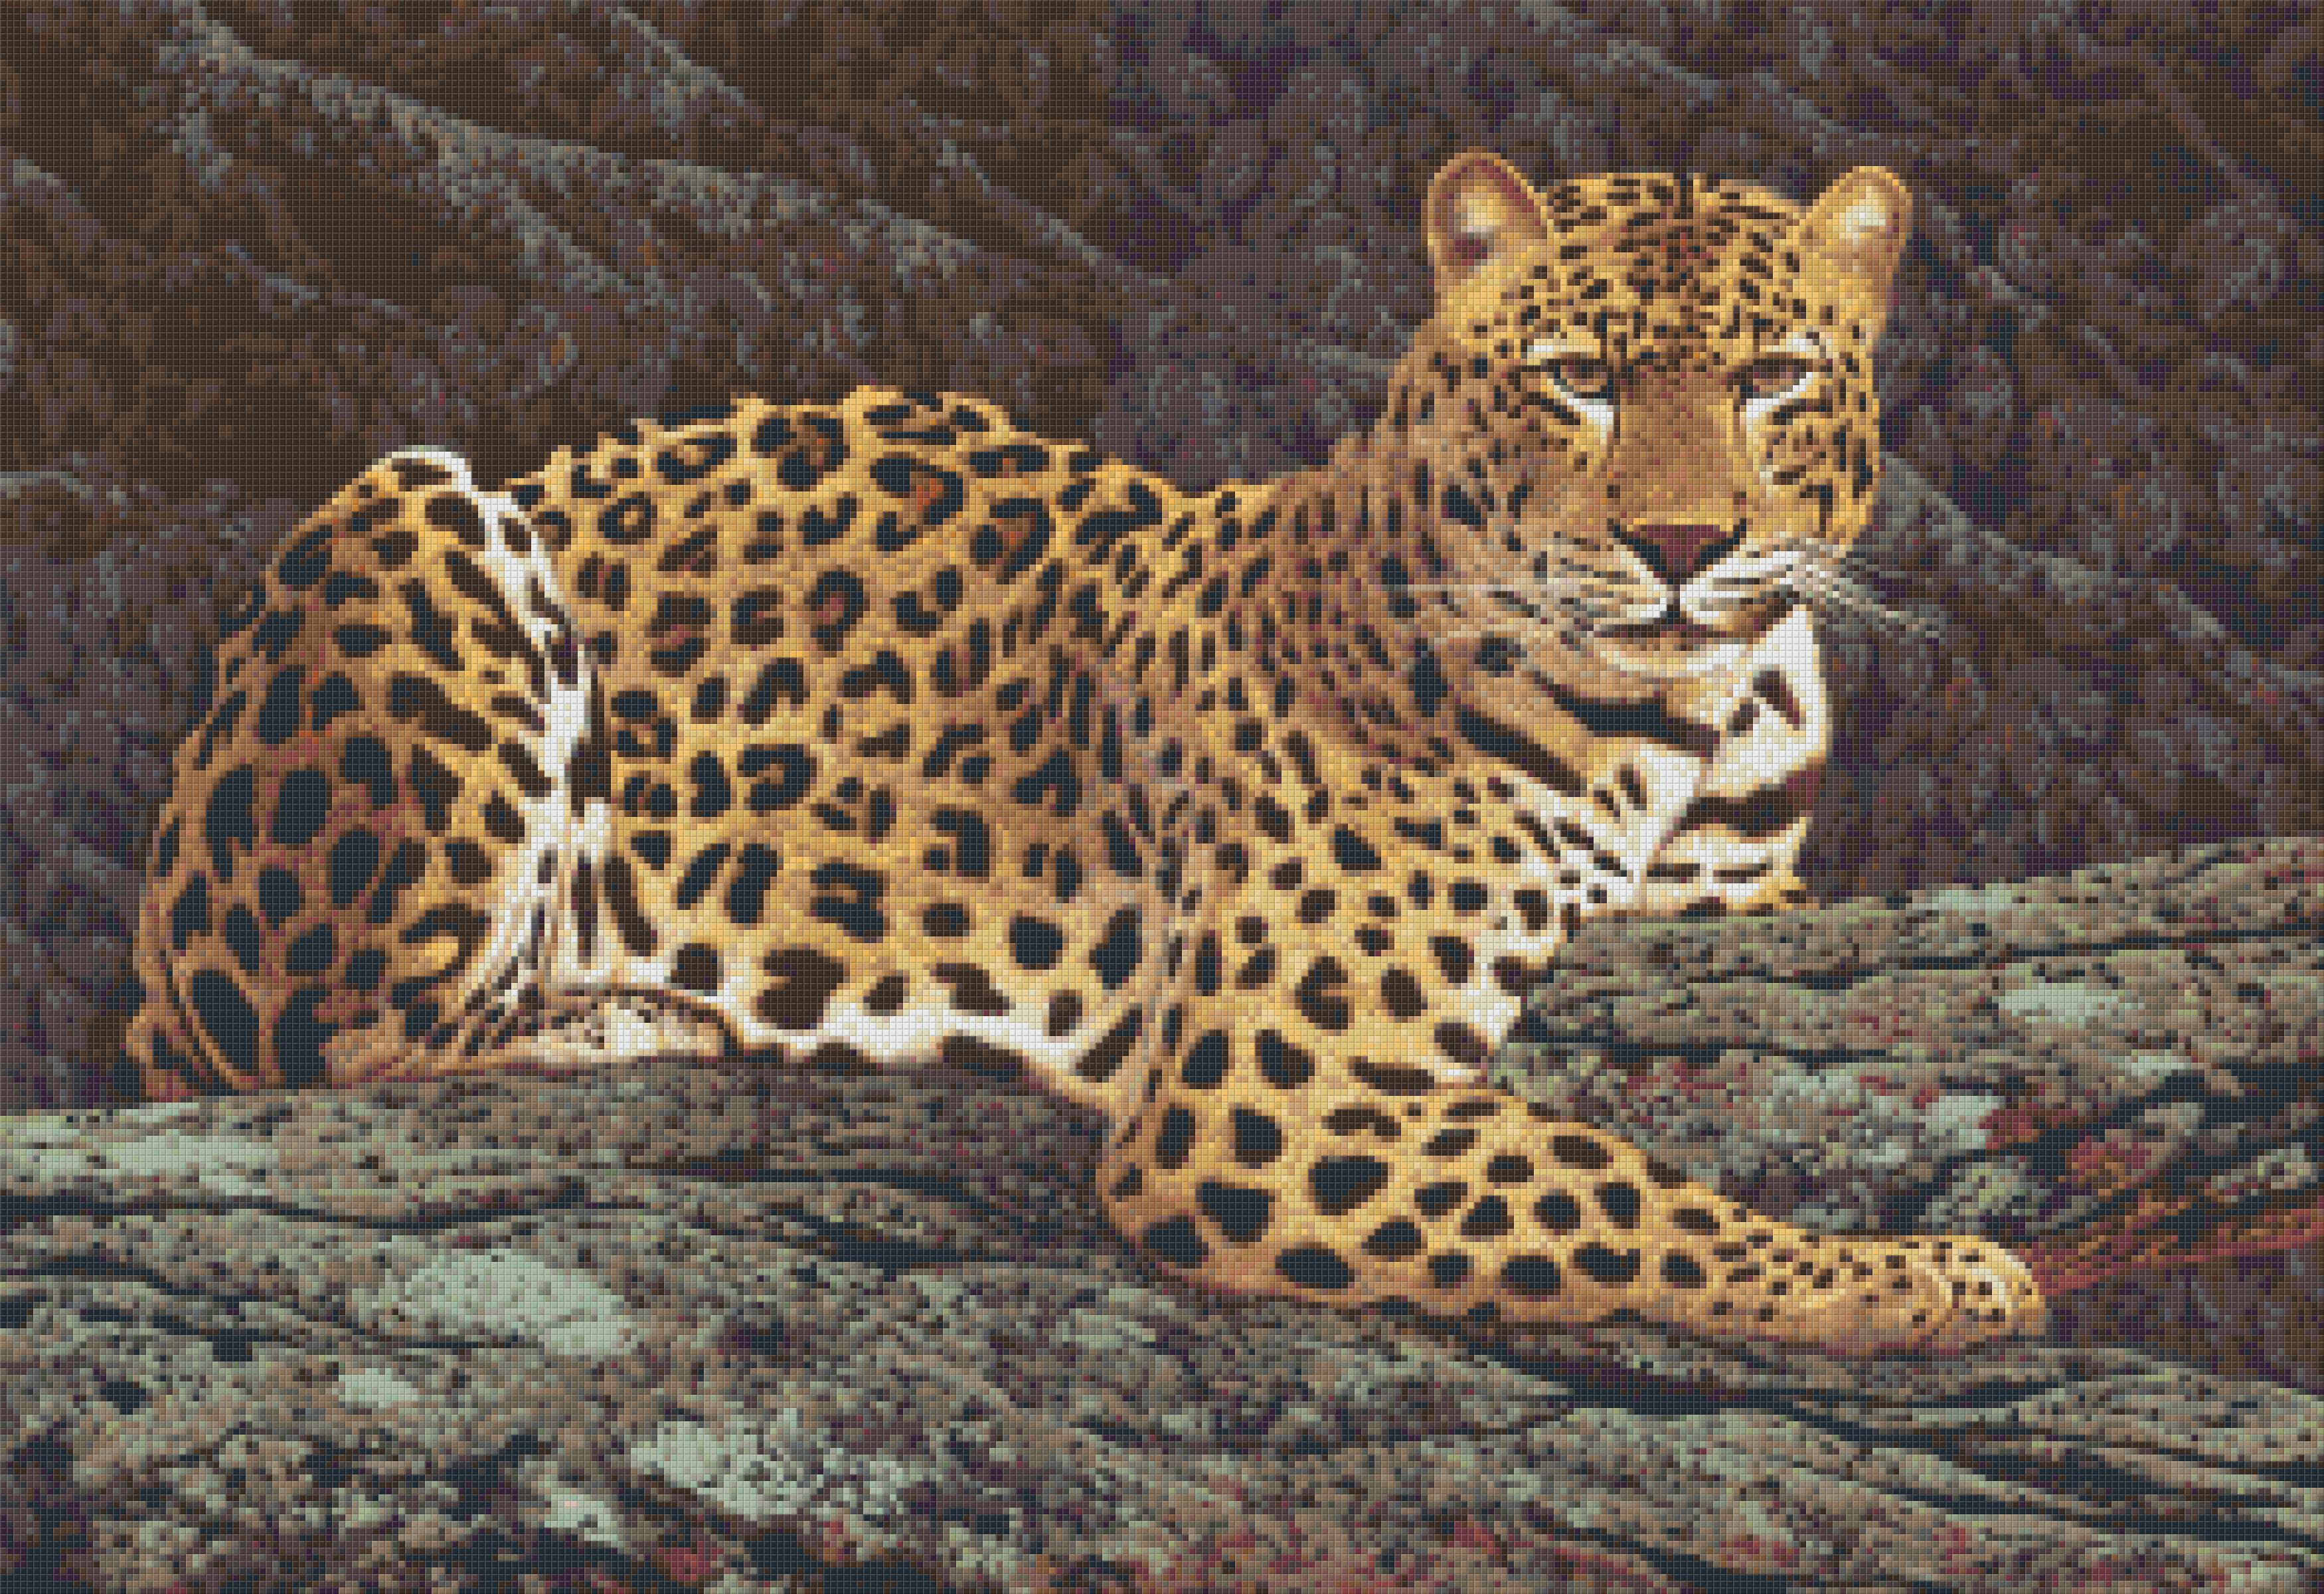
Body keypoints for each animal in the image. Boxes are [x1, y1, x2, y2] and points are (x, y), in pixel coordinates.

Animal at [125, 150, 2047, 1355]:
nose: (1680, 543)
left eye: (1775, 378)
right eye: (1574, 376)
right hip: (415, 516)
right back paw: (625, 1010)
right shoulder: (1270, 1092)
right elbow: (1614, 1193)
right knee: (318, 1042)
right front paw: (1936, 1279)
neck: (1701, 716)